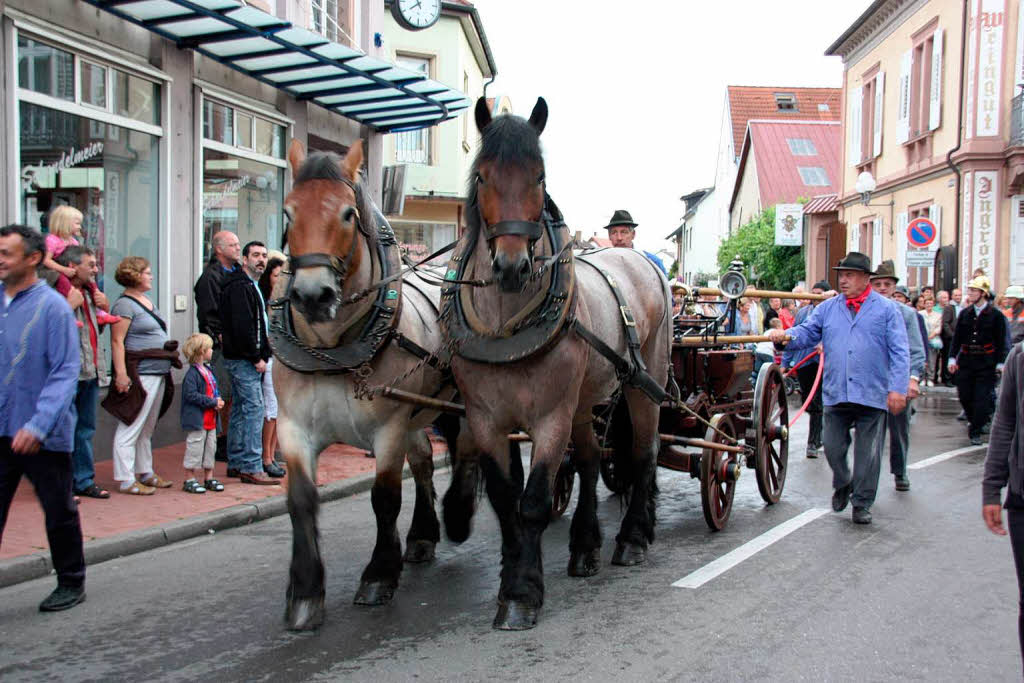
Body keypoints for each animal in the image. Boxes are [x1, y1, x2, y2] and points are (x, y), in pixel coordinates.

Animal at [440, 98, 671, 634]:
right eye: (482, 176)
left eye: (540, 176)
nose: (510, 267)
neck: (506, 328)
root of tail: (643, 261)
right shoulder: (485, 418)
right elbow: (506, 501)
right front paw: (512, 576)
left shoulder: (549, 417)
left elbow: (533, 501)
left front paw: (523, 593)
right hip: (585, 401)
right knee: (588, 462)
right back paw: (585, 547)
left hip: (642, 381)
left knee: (643, 452)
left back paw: (633, 537)